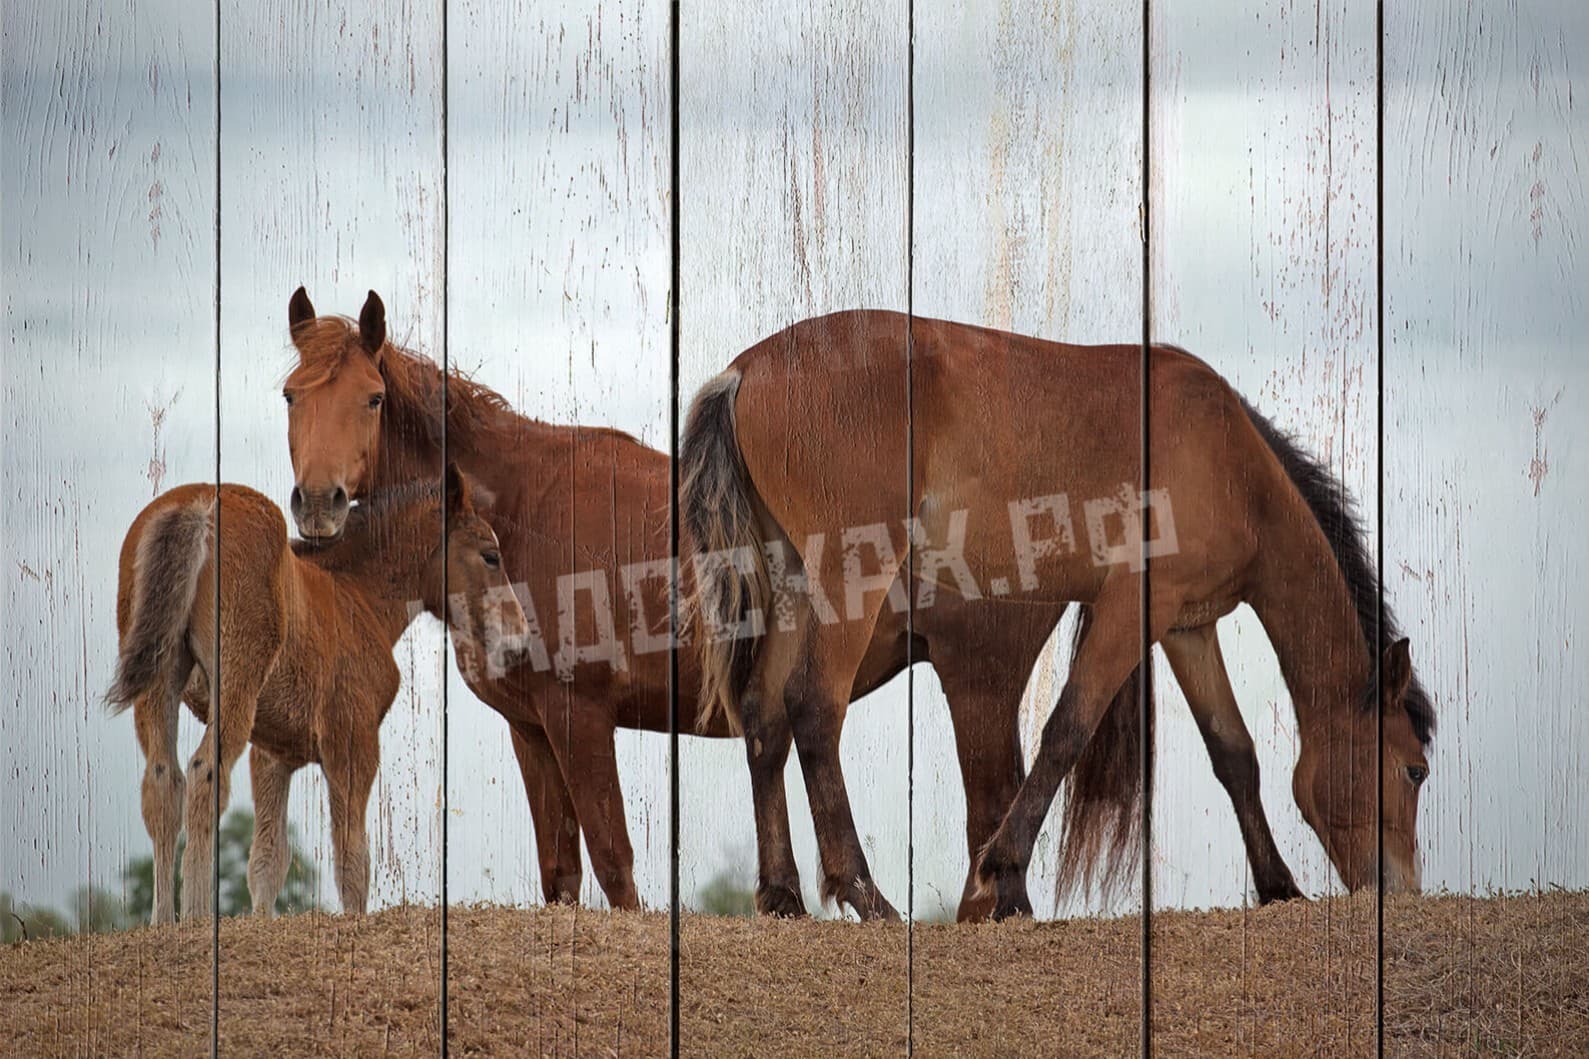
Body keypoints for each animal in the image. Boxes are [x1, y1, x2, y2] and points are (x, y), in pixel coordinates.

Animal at [106, 463, 528, 923]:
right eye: (491, 555)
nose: (519, 639)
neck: (354, 595)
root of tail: (194, 505)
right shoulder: (353, 741)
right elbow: (352, 858)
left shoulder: (272, 753)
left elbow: (268, 859)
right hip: (235, 676)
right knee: (205, 773)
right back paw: (197, 917)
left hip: (160, 678)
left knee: (163, 782)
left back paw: (162, 923)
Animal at [682, 309, 1436, 920]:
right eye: (1414, 770)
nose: (1402, 889)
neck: (1232, 464)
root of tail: (746, 370)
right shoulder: (1133, 607)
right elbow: (1066, 729)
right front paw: (1001, 874)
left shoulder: (1188, 625)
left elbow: (1234, 753)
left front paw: (1279, 886)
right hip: (850, 578)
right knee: (812, 709)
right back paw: (866, 895)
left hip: (794, 584)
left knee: (764, 719)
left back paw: (781, 894)